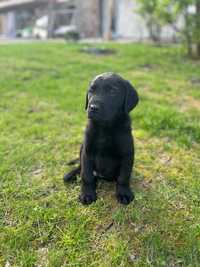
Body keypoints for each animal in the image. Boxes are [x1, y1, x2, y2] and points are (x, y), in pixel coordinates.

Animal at [64, 72, 139, 206]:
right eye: (91, 90)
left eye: (113, 91)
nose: (93, 107)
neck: (105, 127)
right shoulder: (87, 152)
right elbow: (86, 175)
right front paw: (87, 194)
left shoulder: (127, 154)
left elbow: (123, 177)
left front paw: (124, 193)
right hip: (82, 147)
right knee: (80, 167)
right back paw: (71, 174)